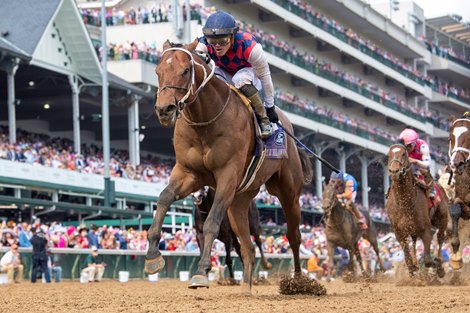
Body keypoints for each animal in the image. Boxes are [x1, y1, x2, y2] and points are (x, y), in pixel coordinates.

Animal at [143, 40, 312, 292]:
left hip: (288, 192)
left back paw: (299, 282)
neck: (205, 120)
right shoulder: (188, 173)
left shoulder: (227, 176)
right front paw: (153, 256)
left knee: (293, 236)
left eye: (185, 71)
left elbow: (212, 222)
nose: (164, 110)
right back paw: (246, 288)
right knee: (248, 247)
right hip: (239, 201)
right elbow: (164, 198)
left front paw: (201, 272)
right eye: (158, 71)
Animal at [386, 143, 448, 276]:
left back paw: (439, 265)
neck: (404, 203)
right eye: (389, 155)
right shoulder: (399, 233)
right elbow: (409, 261)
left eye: (404, 154)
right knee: (414, 242)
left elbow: (428, 260)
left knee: (440, 237)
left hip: (442, 217)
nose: (394, 171)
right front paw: (414, 268)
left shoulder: (426, 230)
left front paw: (435, 265)